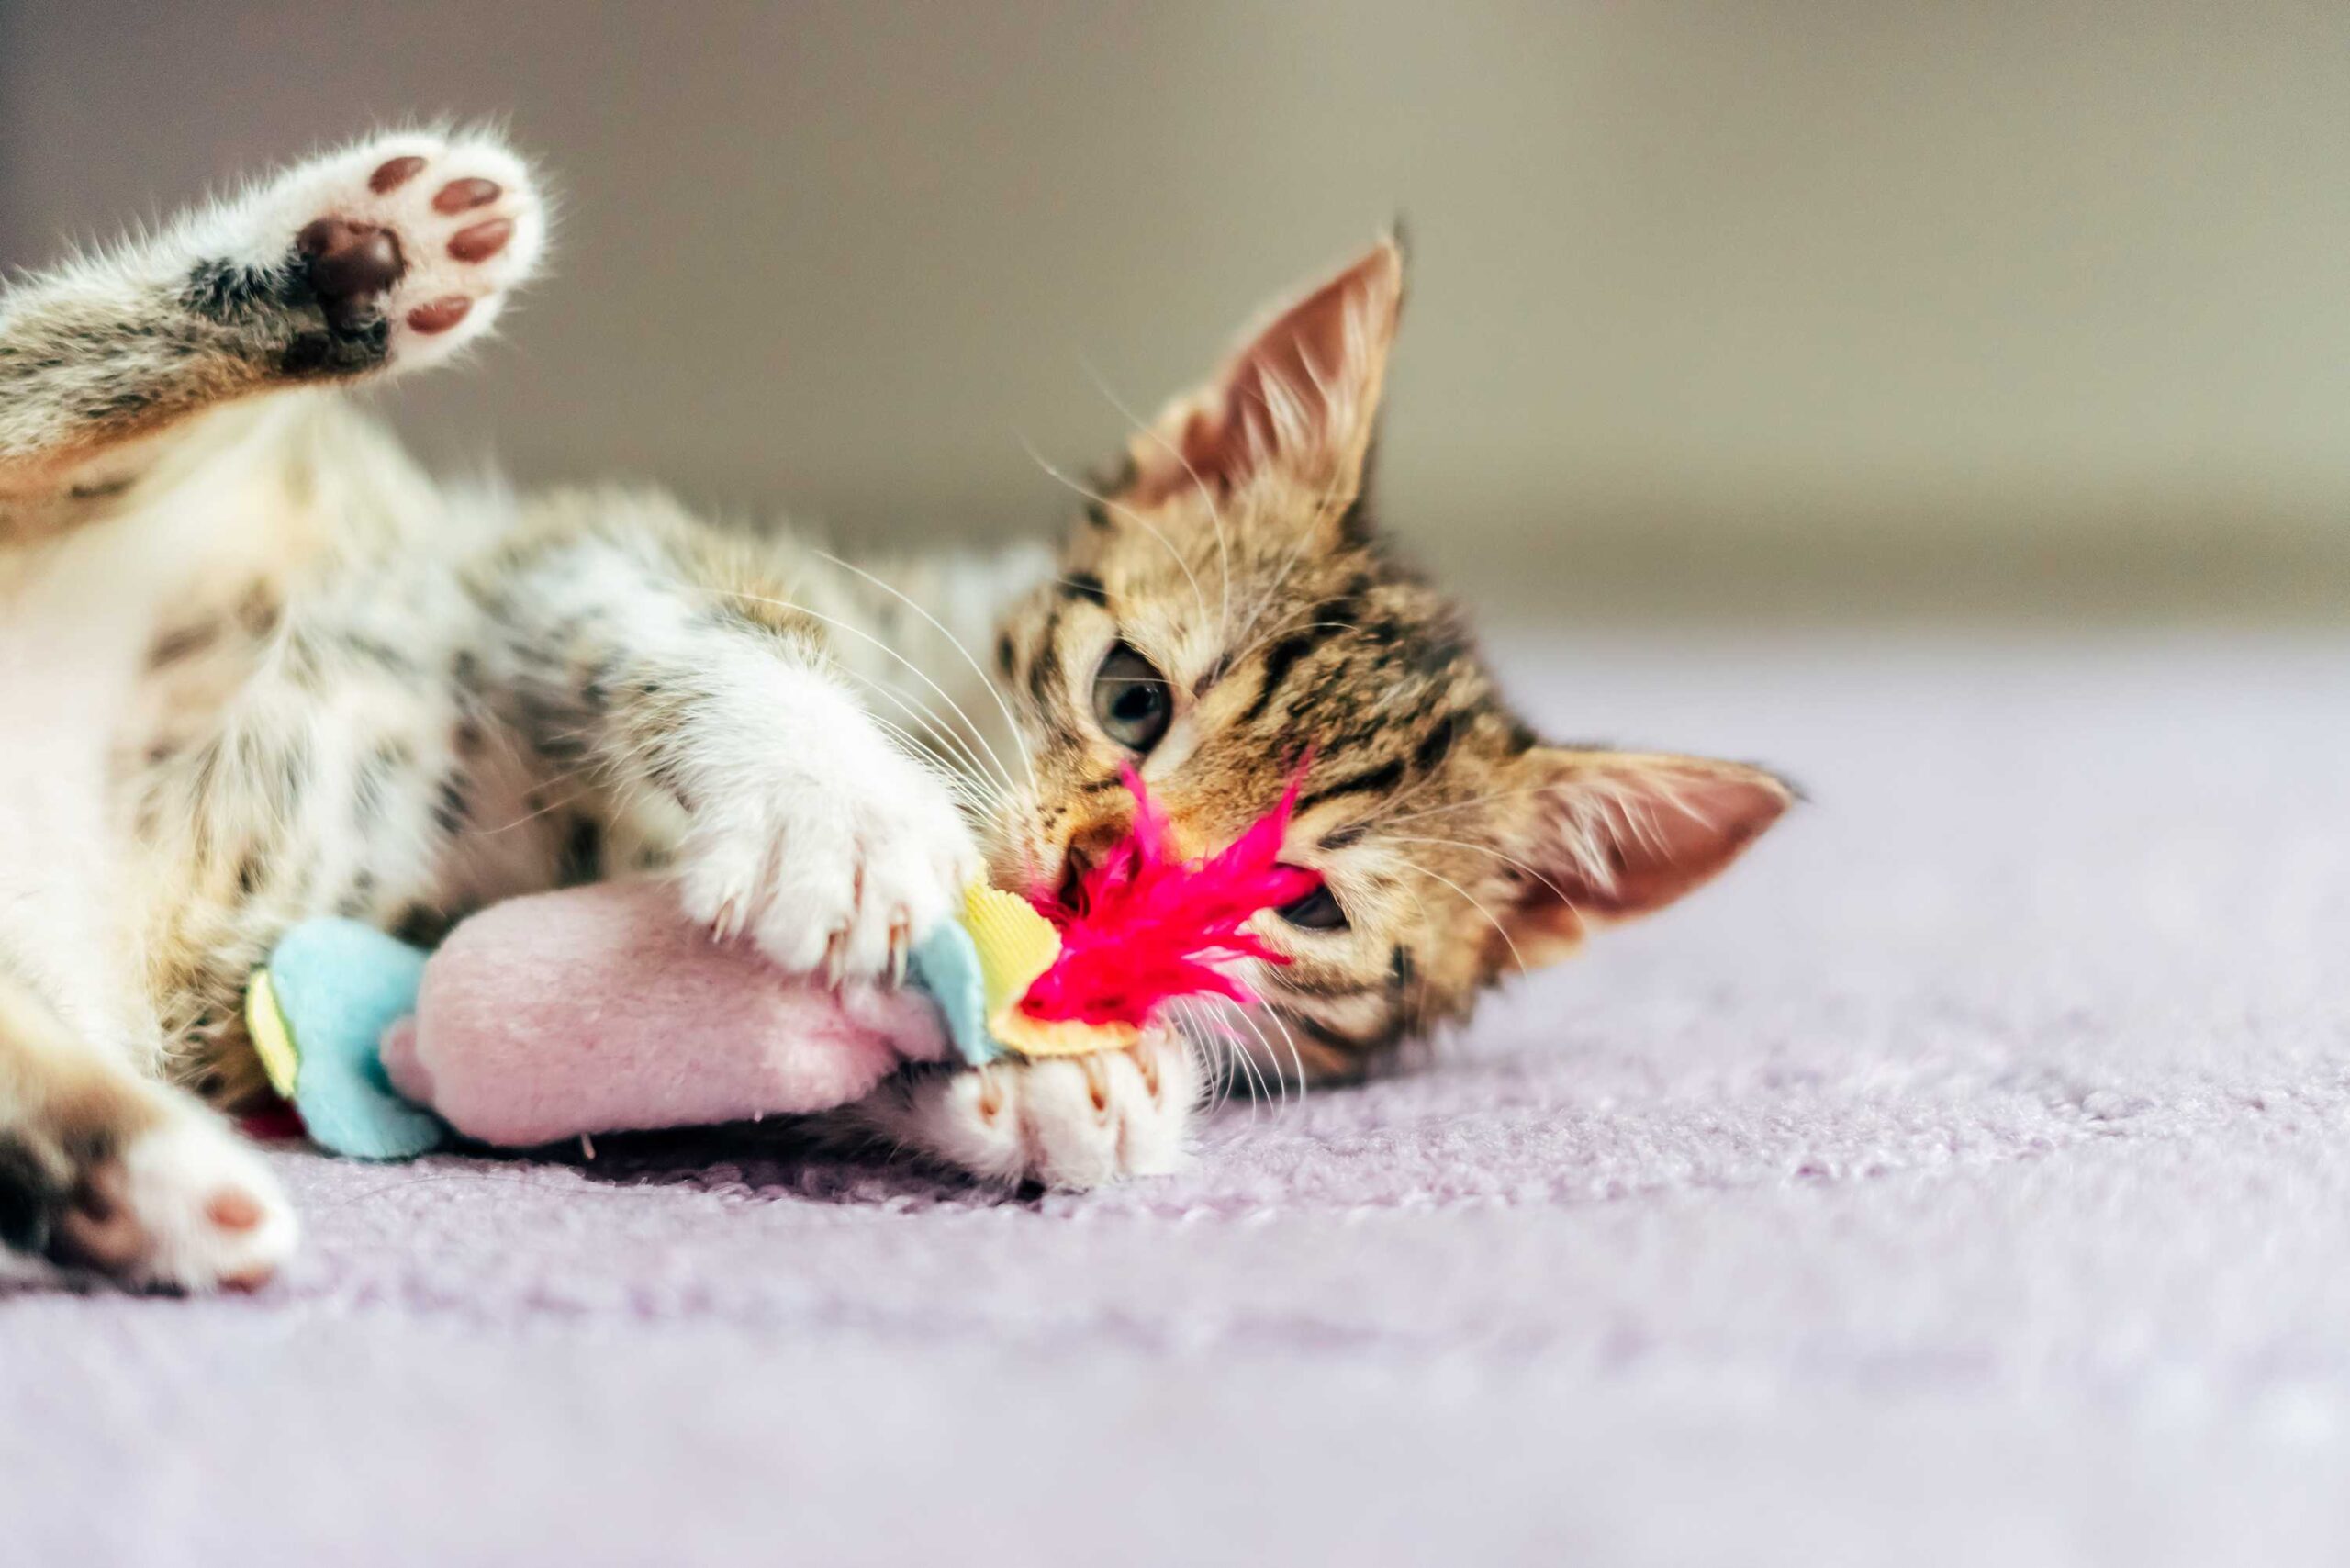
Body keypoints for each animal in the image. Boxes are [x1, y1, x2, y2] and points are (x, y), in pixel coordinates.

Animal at [0, 131, 1776, 1288]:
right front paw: (832, 808)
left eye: (1302, 901)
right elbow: (700, 619)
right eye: (1131, 698)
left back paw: (142, 1185)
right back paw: (357, 262)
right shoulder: (540, 562)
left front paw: (1061, 1088)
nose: (1090, 883)